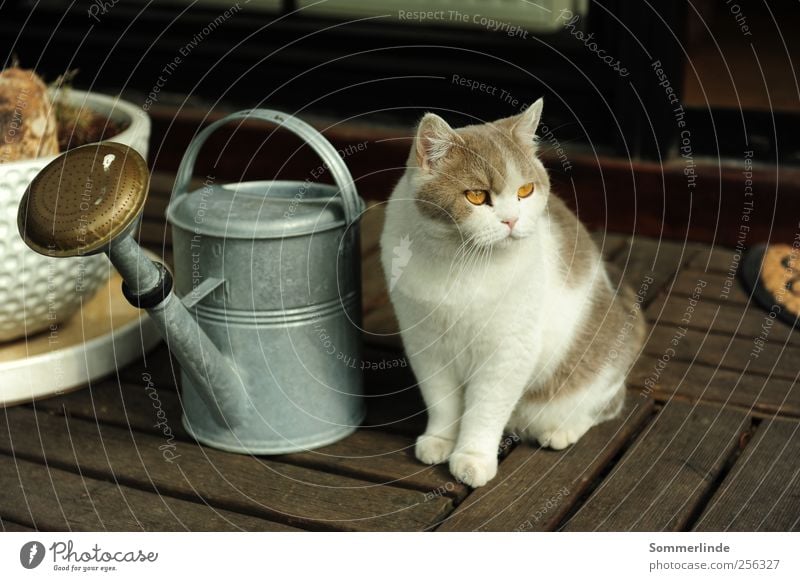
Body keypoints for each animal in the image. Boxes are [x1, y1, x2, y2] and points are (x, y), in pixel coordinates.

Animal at [378, 99, 648, 484]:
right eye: (477, 196)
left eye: (525, 191)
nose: (511, 221)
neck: (460, 261)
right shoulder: (426, 345)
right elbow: (441, 400)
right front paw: (441, 439)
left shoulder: (507, 352)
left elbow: (485, 410)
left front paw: (473, 458)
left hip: (597, 369)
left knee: (606, 405)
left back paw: (561, 430)